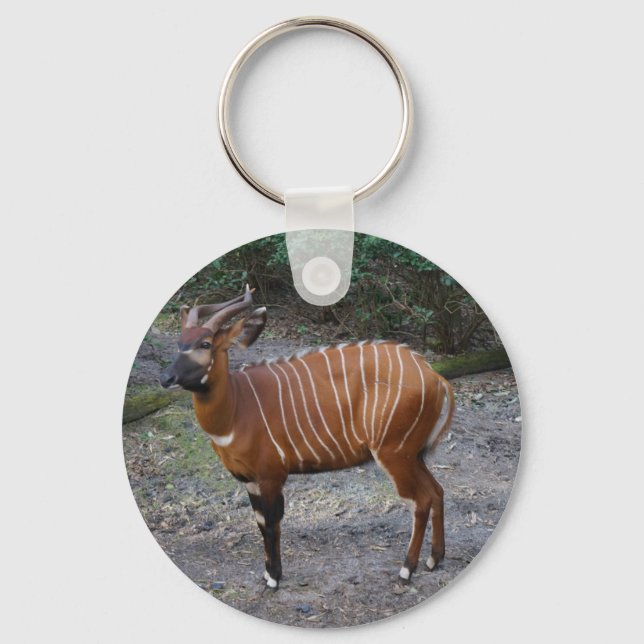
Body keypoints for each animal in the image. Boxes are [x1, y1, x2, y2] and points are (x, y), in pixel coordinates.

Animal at [160, 286, 455, 589]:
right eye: (179, 343)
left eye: (205, 344)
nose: (166, 377)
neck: (237, 407)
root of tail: (435, 376)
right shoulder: (250, 480)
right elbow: (261, 523)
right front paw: (268, 574)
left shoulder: (271, 476)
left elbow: (272, 525)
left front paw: (273, 579)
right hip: (413, 455)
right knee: (437, 491)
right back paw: (434, 560)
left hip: (395, 453)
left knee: (420, 500)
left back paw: (406, 570)